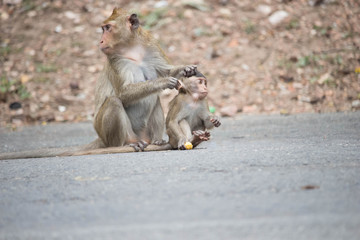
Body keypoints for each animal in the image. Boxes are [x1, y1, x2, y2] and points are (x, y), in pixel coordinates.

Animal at [0, 7, 197, 159]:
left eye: (107, 28)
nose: (100, 41)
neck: (132, 49)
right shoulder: (115, 61)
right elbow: (124, 93)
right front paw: (163, 82)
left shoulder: (151, 46)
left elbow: (166, 69)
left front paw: (185, 70)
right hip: (107, 132)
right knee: (114, 102)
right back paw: (125, 144)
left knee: (154, 99)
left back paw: (156, 140)